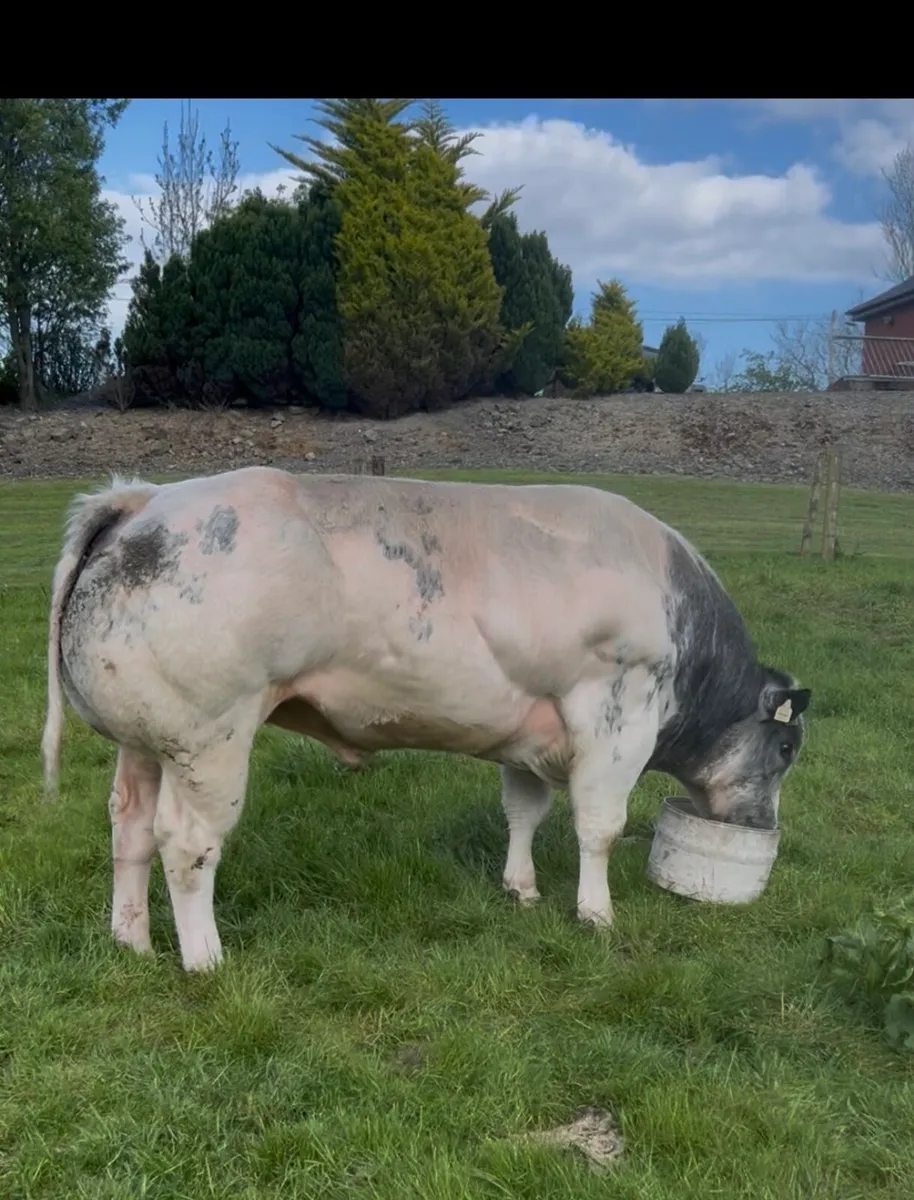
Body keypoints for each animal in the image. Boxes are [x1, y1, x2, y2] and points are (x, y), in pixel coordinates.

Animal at [41, 467, 811, 972]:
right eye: (785, 752)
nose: (762, 825)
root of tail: (143, 498)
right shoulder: (616, 713)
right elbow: (601, 827)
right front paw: (596, 914)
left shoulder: (527, 737)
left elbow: (524, 812)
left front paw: (521, 888)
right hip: (209, 738)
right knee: (186, 843)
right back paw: (205, 958)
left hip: (146, 738)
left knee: (130, 828)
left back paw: (132, 941)